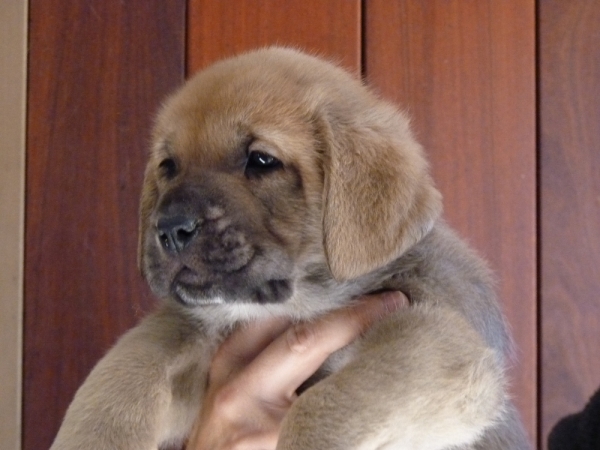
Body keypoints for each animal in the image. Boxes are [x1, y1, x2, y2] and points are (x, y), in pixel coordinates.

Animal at [51, 47, 528, 448]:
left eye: (261, 161)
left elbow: (325, 408)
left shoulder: (439, 339)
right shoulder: (190, 330)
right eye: (168, 167)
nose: (169, 229)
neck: (297, 303)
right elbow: (124, 371)